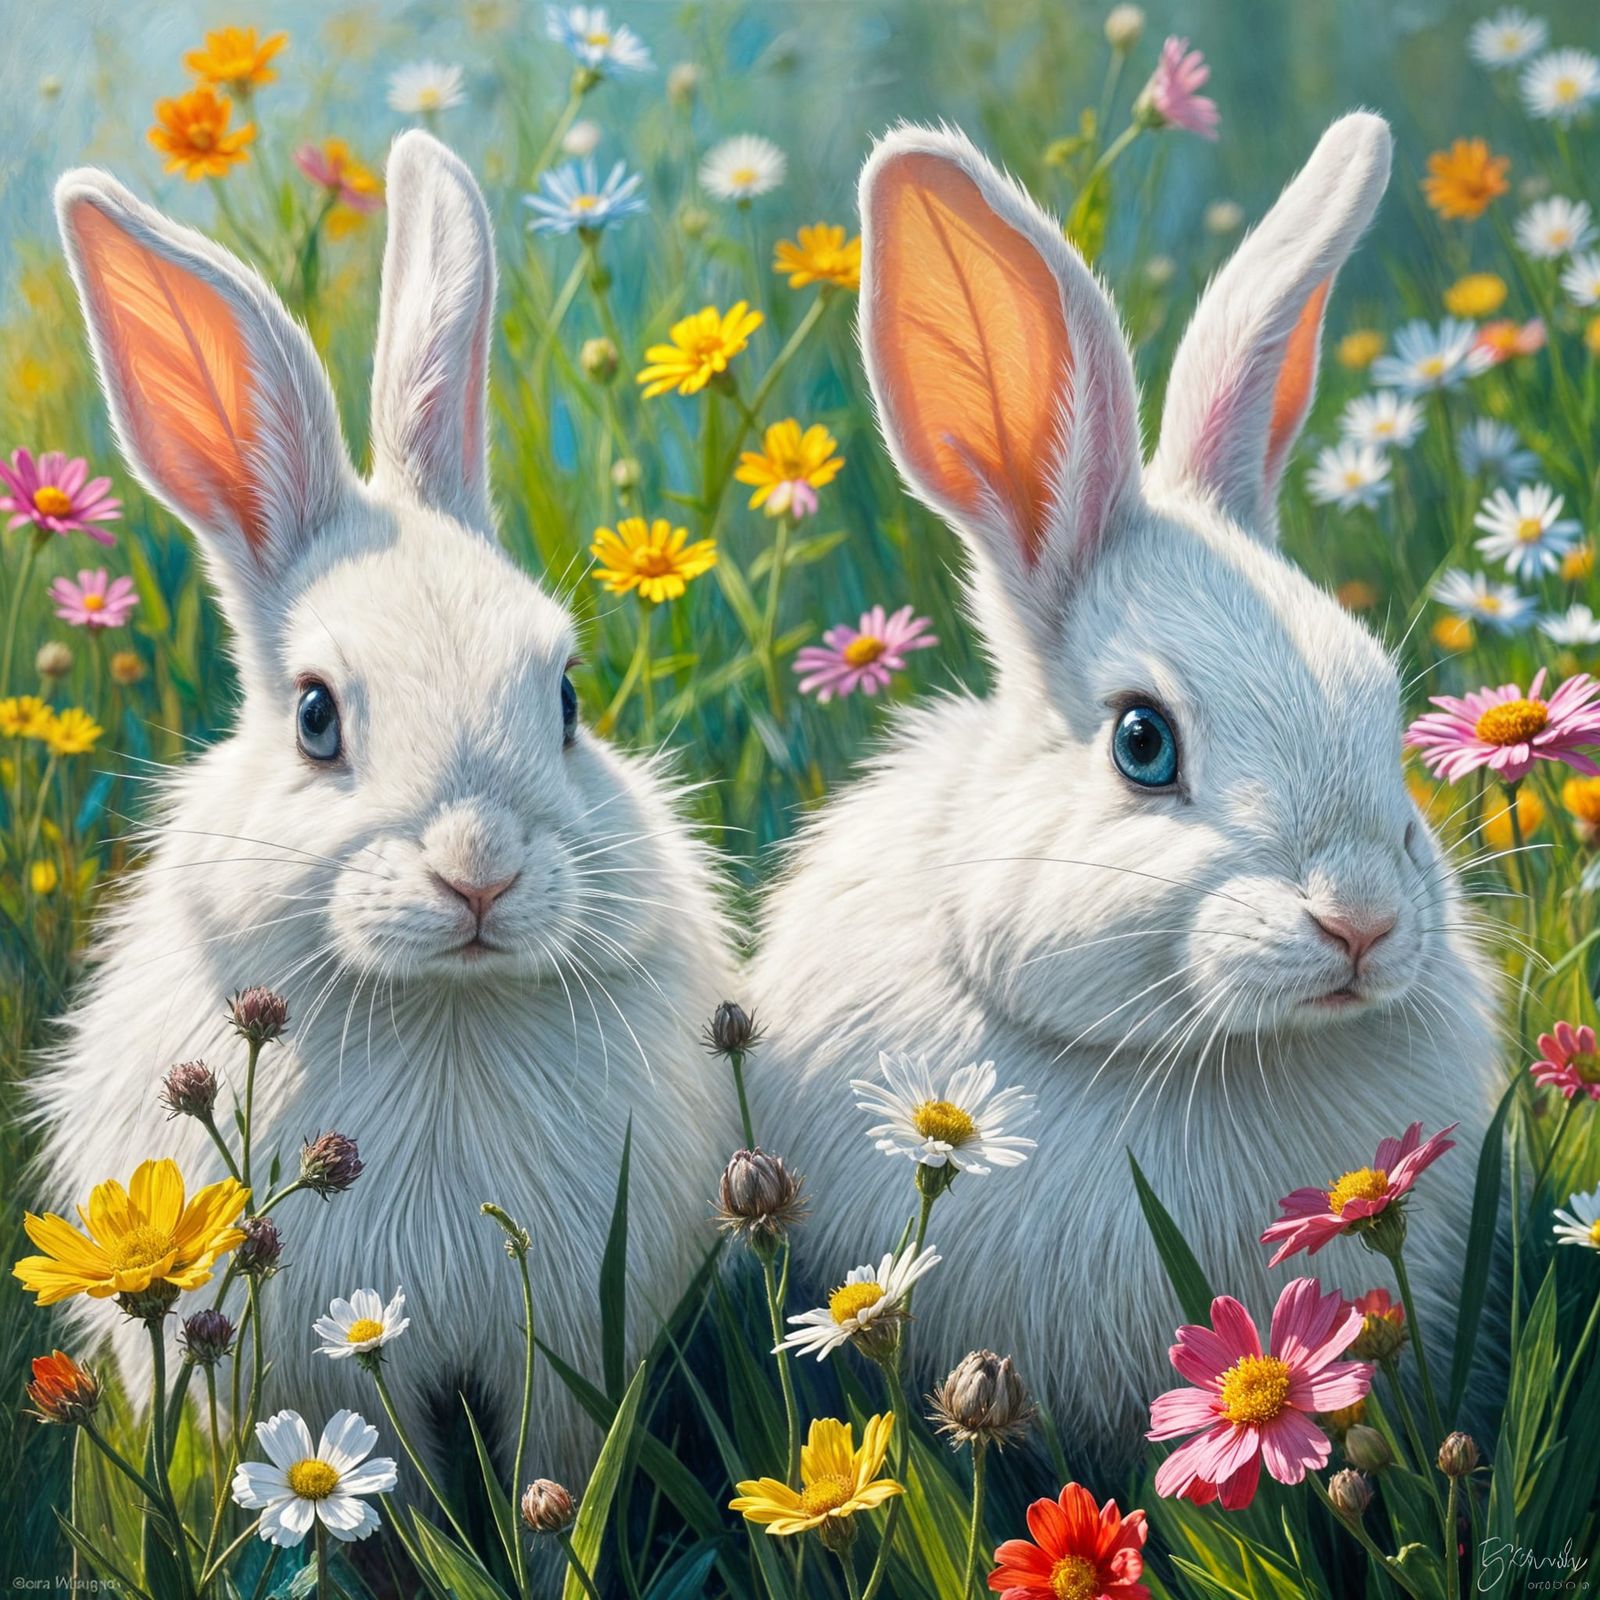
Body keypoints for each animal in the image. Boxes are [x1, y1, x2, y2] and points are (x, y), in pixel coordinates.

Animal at [33, 131, 739, 1485]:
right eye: (315, 715)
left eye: (565, 695)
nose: (478, 871)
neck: (444, 1007)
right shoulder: (330, 1355)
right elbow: (368, 1476)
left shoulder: (562, 1343)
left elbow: (550, 1464)